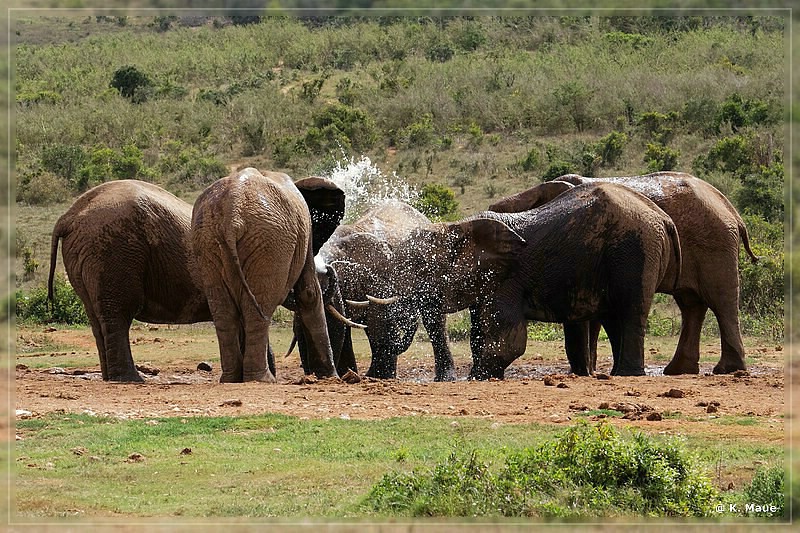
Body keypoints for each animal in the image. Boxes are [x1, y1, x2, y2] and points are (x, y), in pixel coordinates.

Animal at [48, 181, 212, 380]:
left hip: (82, 255)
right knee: (119, 313)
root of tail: (68, 217)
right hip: (115, 250)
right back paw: (130, 379)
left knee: (96, 318)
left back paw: (111, 377)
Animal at [192, 168, 346, 380]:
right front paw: (331, 377)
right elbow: (309, 293)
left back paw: (232, 379)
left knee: (224, 311)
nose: (329, 269)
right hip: (270, 243)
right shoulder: (305, 229)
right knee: (258, 309)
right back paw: (262, 378)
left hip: (208, 240)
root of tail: (232, 213)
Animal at [384, 182, 680, 378]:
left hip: (635, 253)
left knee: (630, 311)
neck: (461, 225)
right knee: (615, 316)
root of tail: (664, 218)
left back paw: (628, 375)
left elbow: (509, 339)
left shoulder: (507, 280)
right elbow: (480, 332)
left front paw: (477, 378)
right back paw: (618, 373)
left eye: (420, 265)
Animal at [490, 171, 760, 374]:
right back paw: (678, 371)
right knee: (691, 304)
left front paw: (584, 372)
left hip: (715, 243)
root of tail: (731, 210)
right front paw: (591, 371)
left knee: (721, 301)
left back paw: (726, 370)